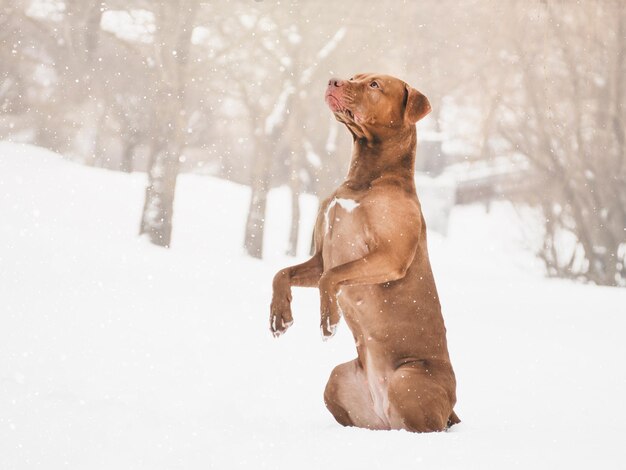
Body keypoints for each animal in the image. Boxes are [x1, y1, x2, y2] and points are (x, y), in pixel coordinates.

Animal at [268, 74, 458, 434]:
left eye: (374, 85)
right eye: (355, 76)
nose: (333, 79)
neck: (365, 177)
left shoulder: (390, 257)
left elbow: (332, 277)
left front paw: (329, 318)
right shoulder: (320, 258)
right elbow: (282, 273)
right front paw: (280, 315)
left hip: (407, 380)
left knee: (425, 427)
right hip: (337, 380)